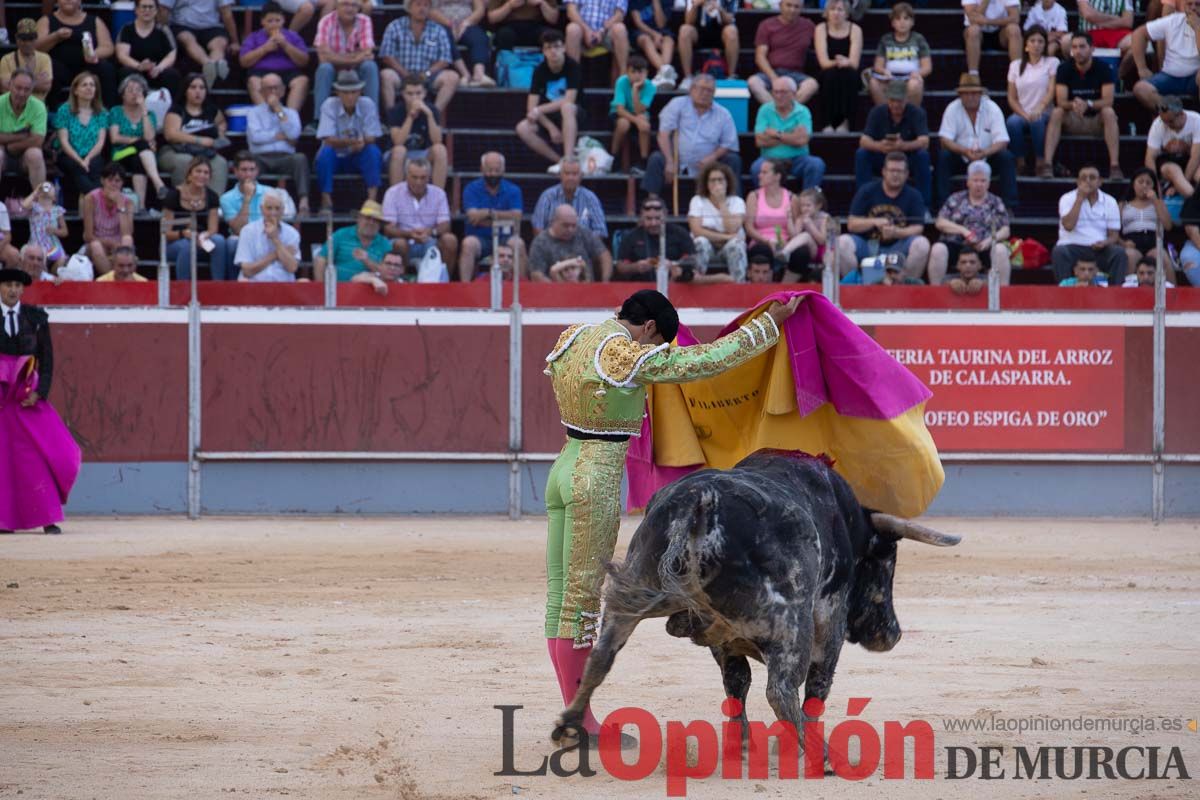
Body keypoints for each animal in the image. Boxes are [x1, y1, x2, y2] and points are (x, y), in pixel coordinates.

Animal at [556, 453, 960, 748]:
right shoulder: (829, 619)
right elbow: (817, 683)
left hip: (631, 588)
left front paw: (741, 742)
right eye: (887, 561)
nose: (891, 633)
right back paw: (819, 755)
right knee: (781, 689)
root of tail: (697, 503)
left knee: (599, 658)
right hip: (791, 622)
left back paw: (569, 725)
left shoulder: (724, 640)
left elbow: (736, 683)